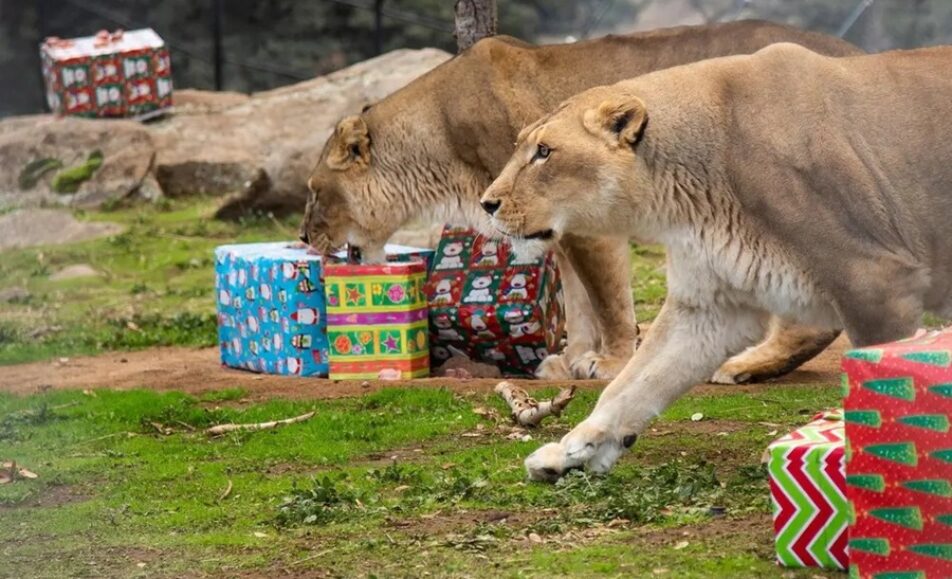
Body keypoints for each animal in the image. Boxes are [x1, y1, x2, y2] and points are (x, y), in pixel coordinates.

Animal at [301, 21, 860, 382]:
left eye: (314, 191)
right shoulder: (553, 228)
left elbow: (608, 301)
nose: (303, 237)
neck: (438, 138)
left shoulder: (591, 223)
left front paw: (611, 363)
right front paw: (569, 361)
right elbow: (576, 301)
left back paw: (744, 365)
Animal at [479, 42, 952, 480]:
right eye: (523, 146)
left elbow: (879, 399)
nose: (487, 203)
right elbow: (631, 385)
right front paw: (570, 452)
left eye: (544, 152)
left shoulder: (875, 282)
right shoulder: (709, 305)